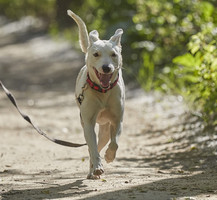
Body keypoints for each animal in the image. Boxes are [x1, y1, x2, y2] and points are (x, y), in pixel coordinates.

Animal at [68, 9, 125, 179]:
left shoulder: (117, 120)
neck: (103, 91)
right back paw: (93, 170)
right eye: (96, 54)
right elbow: (92, 148)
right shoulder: (88, 123)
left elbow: (115, 142)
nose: (106, 68)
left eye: (114, 54)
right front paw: (98, 166)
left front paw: (110, 156)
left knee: (103, 143)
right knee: (91, 149)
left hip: (105, 130)